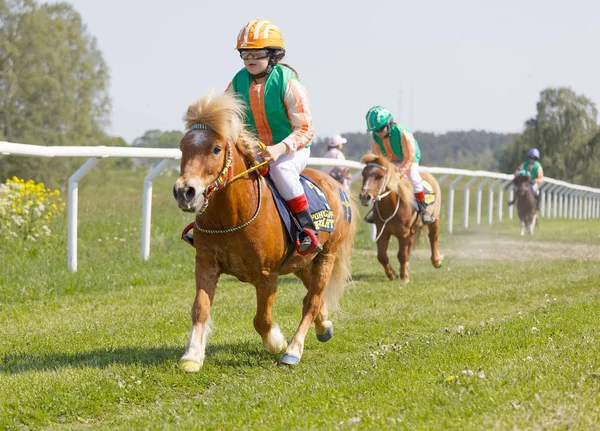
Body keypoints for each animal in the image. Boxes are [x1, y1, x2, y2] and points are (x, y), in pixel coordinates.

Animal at [171, 93, 356, 372]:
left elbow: (262, 319)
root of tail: (338, 187)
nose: (185, 192)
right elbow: (200, 308)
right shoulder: (205, 263)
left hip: (327, 256)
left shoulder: (267, 275)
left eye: (216, 149)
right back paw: (324, 326)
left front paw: (276, 342)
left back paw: (293, 350)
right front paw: (192, 355)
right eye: (183, 147)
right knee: (314, 297)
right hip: (303, 262)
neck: (232, 218)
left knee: (311, 302)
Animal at [356, 155, 446, 284]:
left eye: (380, 176)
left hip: (435, 218)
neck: (391, 207)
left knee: (433, 237)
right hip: (412, 229)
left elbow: (402, 255)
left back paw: (436, 261)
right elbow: (382, 256)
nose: (365, 197)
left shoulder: (403, 233)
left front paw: (404, 277)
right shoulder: (383, 232)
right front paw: (392, 274)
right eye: (363, 174)